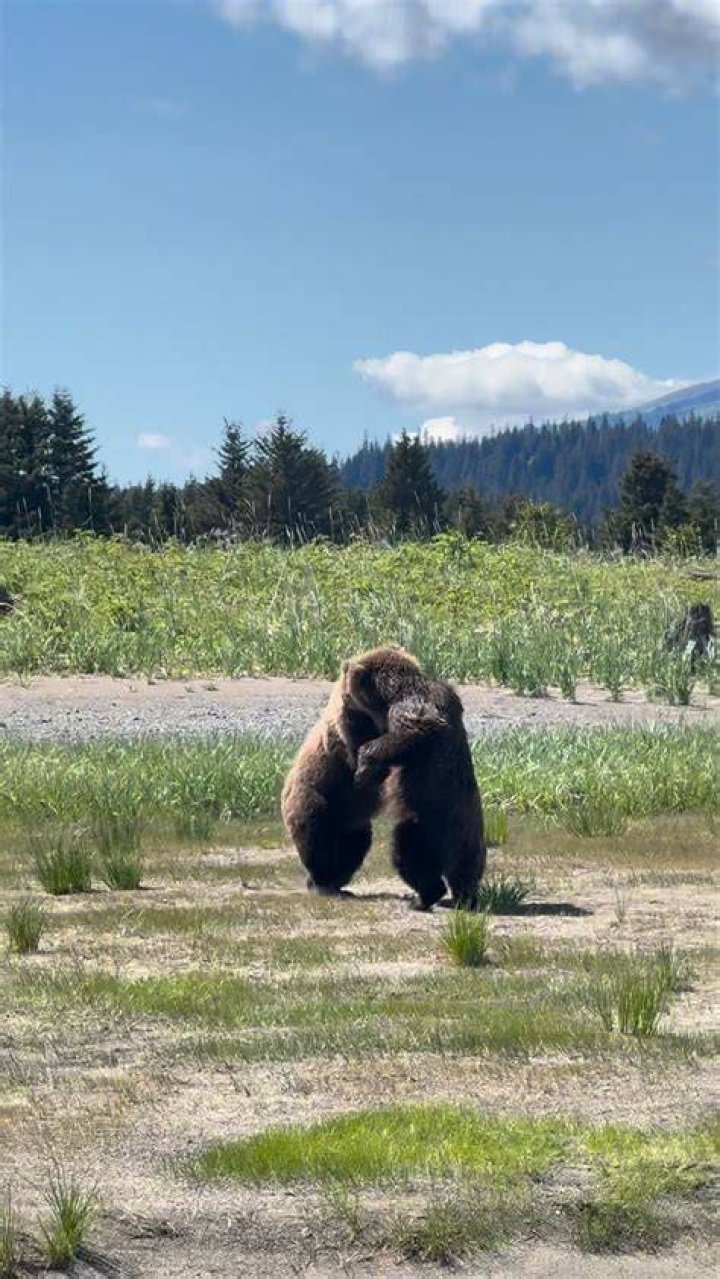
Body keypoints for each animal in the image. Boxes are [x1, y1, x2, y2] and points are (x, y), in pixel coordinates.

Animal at [342, 648, 486, 911]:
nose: (344, 667)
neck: (390, 694)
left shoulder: (410, 710)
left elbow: (413, 733)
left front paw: (363, 768)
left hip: (427, 824)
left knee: (407, 852)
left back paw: (423, 897)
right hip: (469, 832)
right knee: (468, 870)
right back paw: (466, 898)